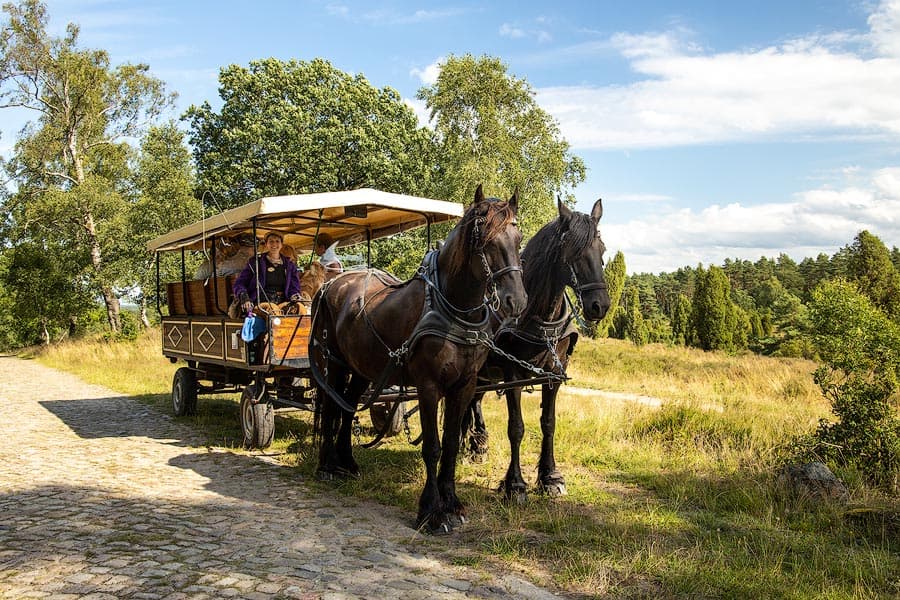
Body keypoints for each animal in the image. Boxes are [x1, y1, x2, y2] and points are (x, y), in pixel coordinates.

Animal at [312, 185, 528, 532]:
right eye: (485, 238)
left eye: (517, 238)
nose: (516, 301)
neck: (452, 309)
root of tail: (332, 283)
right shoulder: (428, 386)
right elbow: (433, 447)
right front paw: (431, 511)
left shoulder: (465, 386)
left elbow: (451, 443)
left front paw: (451, 503)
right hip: (334, 364)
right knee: (332, 407)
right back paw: (326, 466)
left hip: (362, 369)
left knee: (347, 408)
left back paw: (347, 462)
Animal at [464, 197, 612, 502]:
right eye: (574, 252)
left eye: (601, 250)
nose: (599, 305)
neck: (537, 314)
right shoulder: (512, 373)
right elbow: (516, 426)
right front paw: (515, 484)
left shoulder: (554, 373)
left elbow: (549, 422)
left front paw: (550, 476)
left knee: (474, 401)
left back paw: (477, 445)